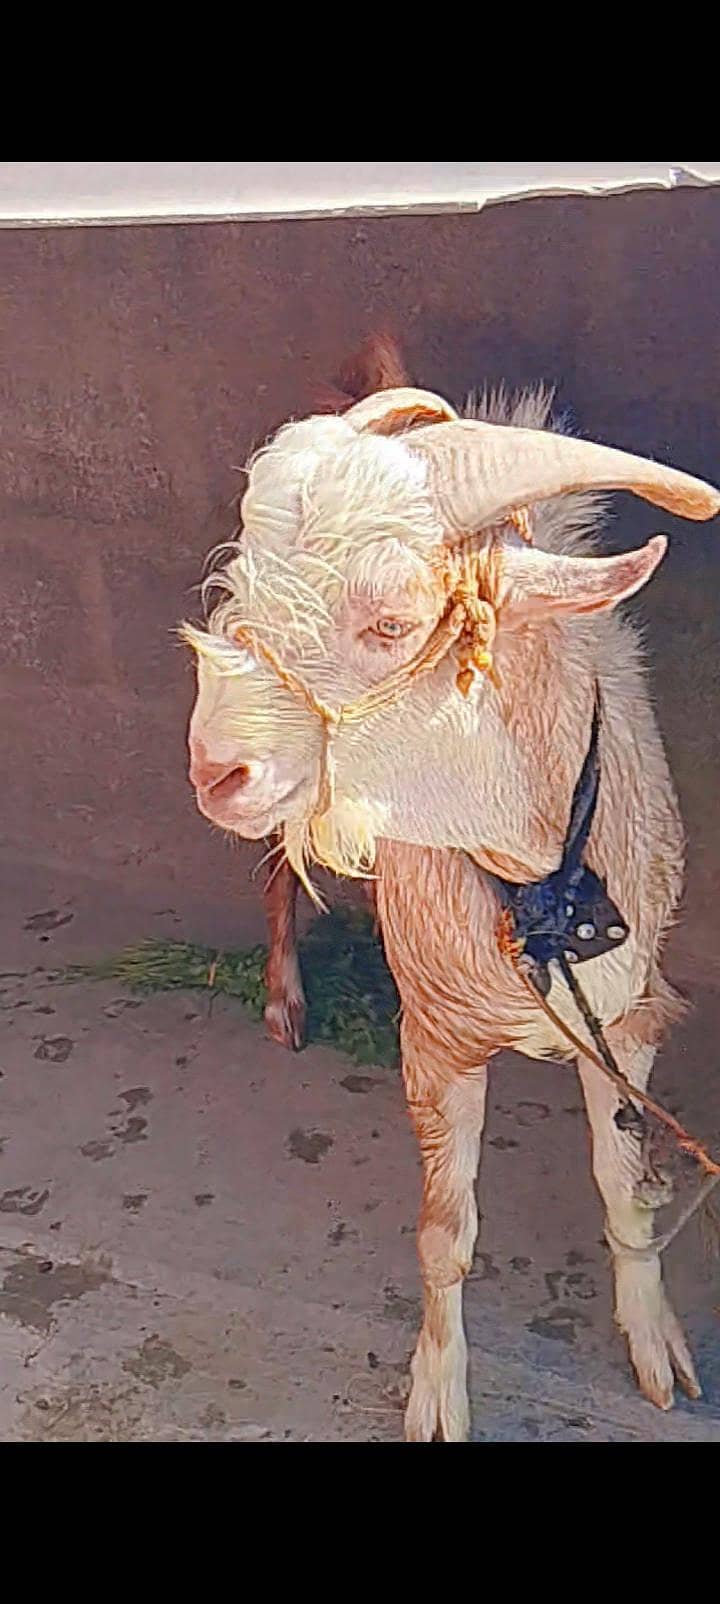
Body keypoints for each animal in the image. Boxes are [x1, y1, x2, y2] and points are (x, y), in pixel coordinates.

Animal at [185, 334, 719, 1440]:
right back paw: (283, 997)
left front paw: (655, 1347)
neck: (532, 890)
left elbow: (623, 1184)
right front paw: (437, 1392)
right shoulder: (434, 1038)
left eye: (392, 622)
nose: (216, 767)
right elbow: (445, 1230)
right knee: (277, 874)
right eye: (239, 585)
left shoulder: (629, 1019)